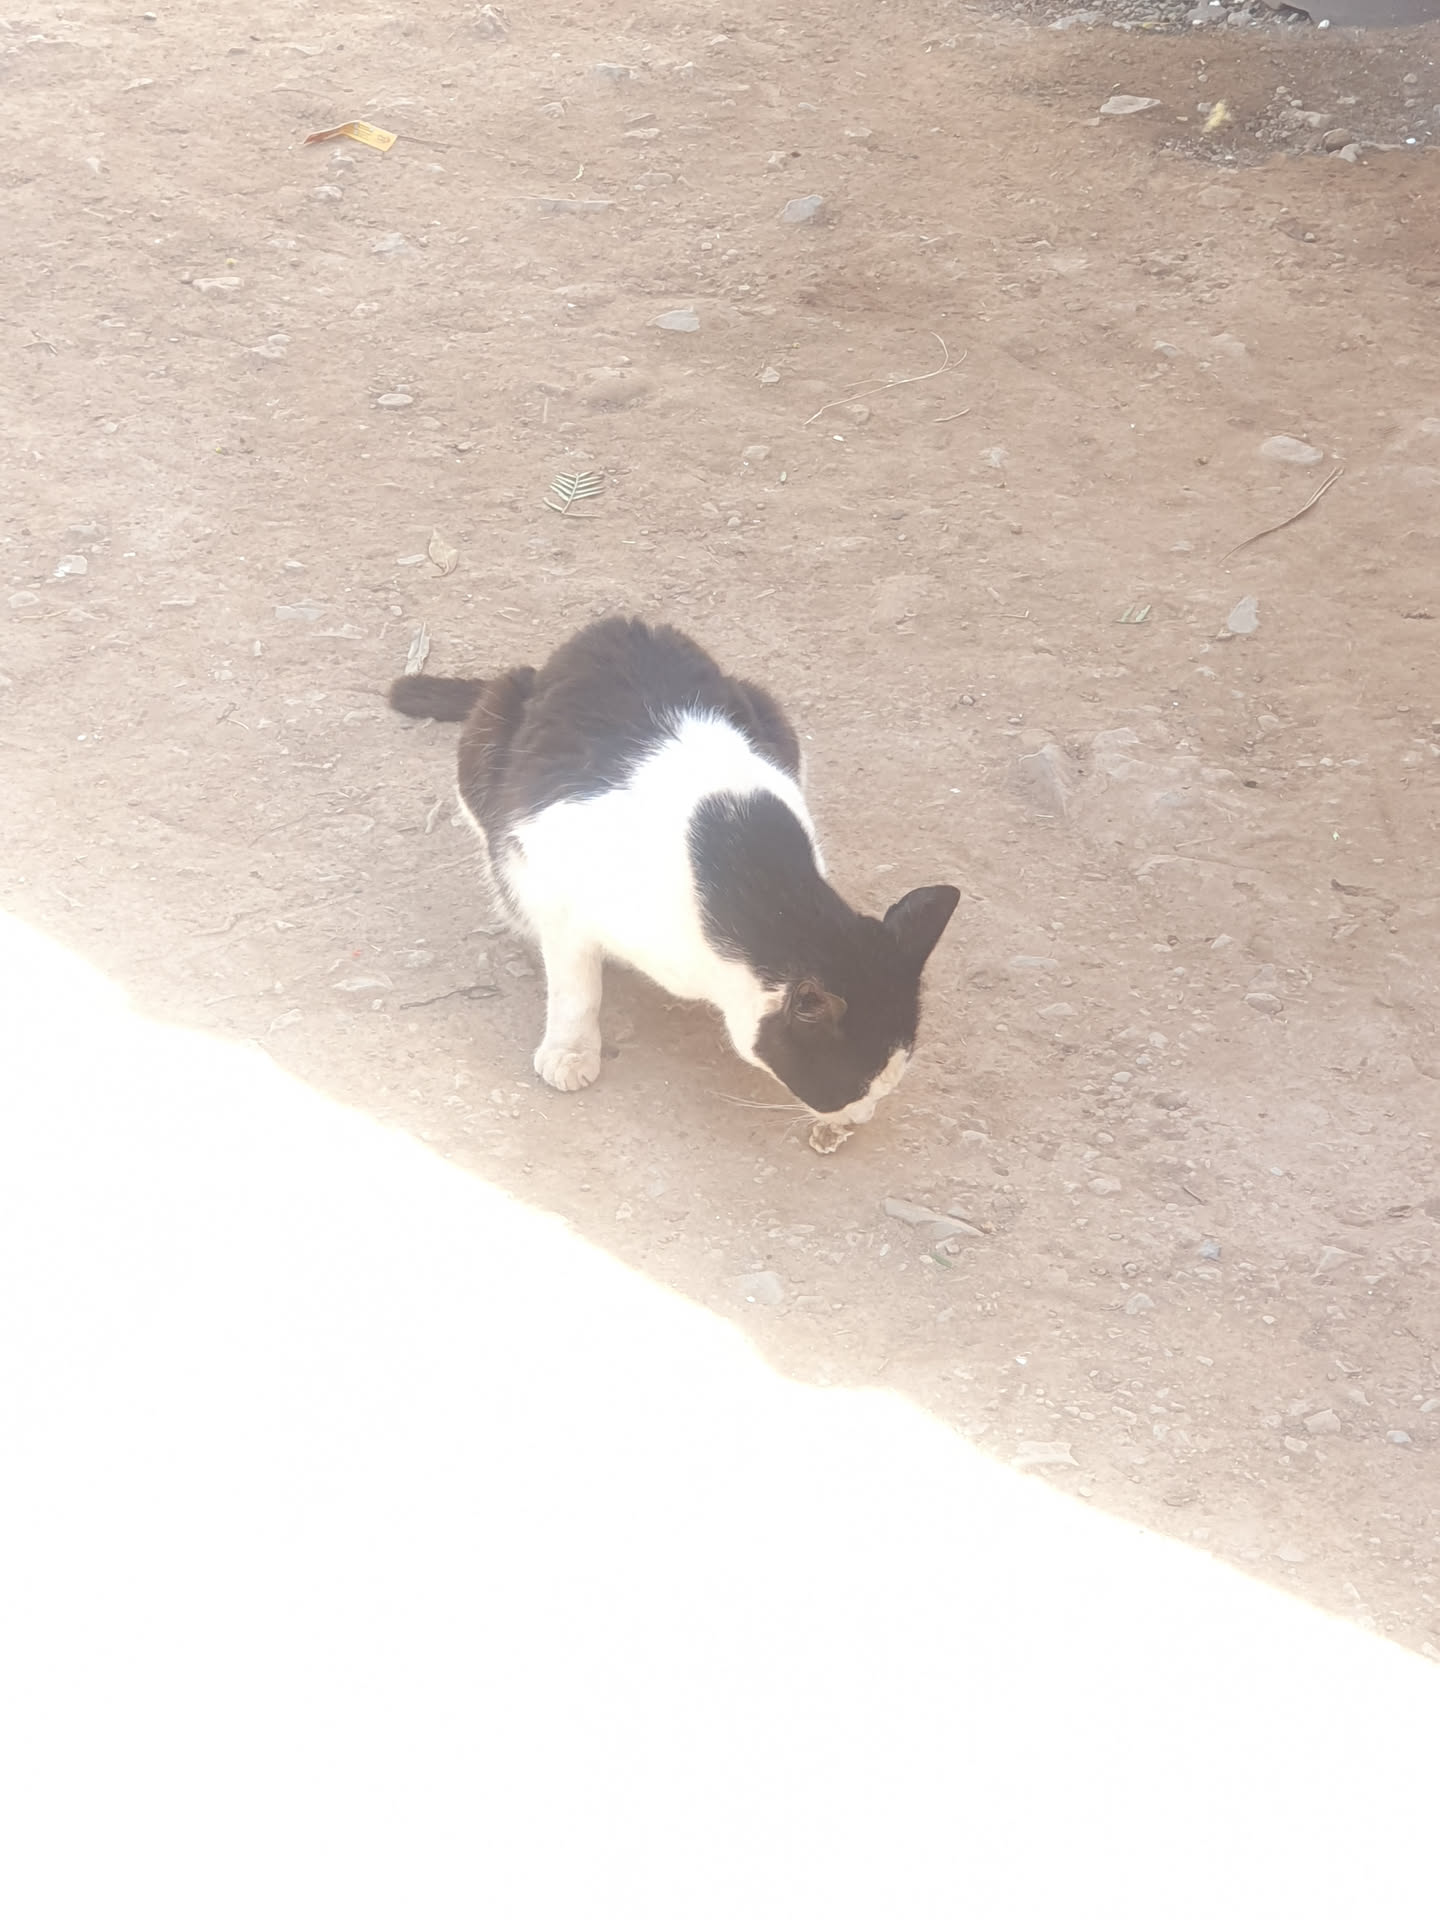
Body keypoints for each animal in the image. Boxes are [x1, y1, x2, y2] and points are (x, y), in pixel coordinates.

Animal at [388, 615, 959, 1134]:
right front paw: (571, 1050)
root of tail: (613, 624)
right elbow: (575, 984)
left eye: (887, 1084)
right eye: (852, 1086)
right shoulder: (553, 872)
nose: (862, 1118)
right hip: (490, 731)